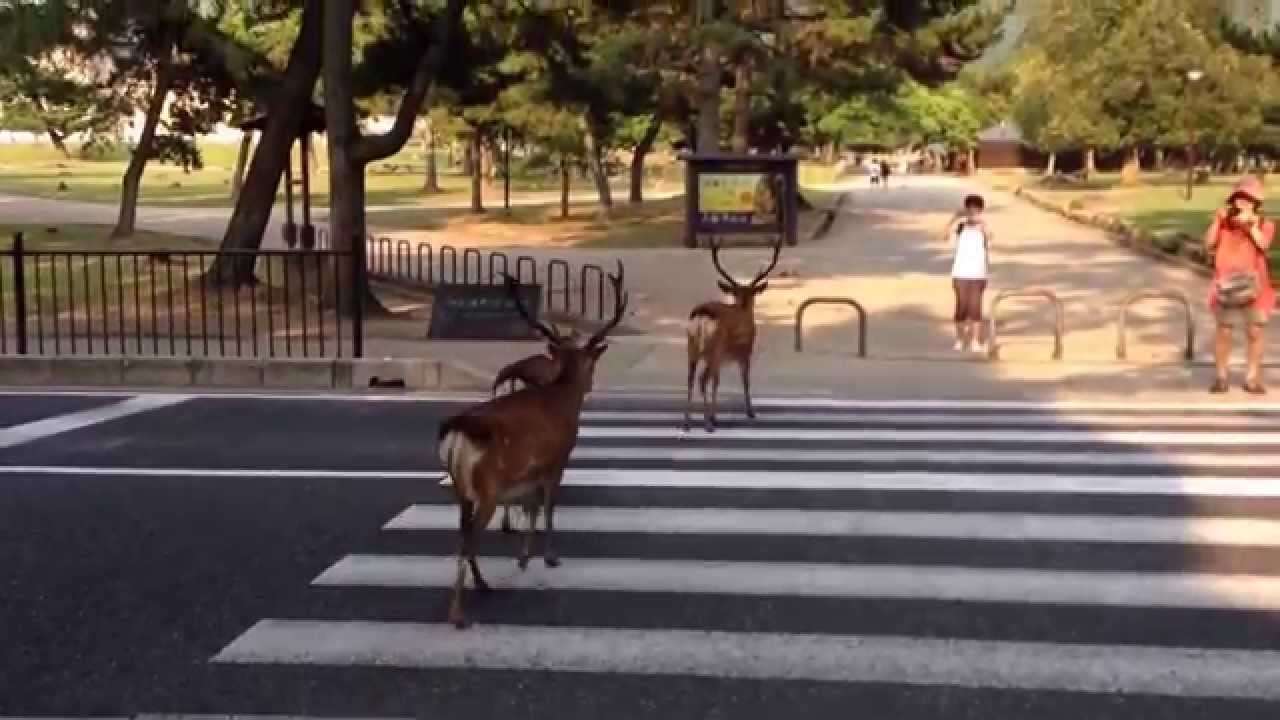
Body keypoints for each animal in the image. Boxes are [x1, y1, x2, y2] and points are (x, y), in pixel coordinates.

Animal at [436, 261, 627, 629]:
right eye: (591, 362)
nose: (591, 384)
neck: (563, 401)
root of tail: (456, 431)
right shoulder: (558, 457)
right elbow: (548, 506)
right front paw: (550, 557)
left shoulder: (531, 469)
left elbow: (531, 507)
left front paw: (525, 557)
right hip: (488, 487)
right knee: (466, 541)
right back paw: (458, 614)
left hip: (461, 489)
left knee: (463, 535)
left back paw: (483, 584)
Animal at [683, 236, 782, 433]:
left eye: (746, 292)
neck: (742, 309)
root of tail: (701, 316)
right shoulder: (745, 352)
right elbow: (745, 381)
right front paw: (750, 412)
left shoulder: (722, 360)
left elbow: (717, 382)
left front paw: (715, 416)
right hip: (714, 348)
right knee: (702, 379)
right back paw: (708, 424)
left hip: (692, 348)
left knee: (691, 379)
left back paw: (688, 423)